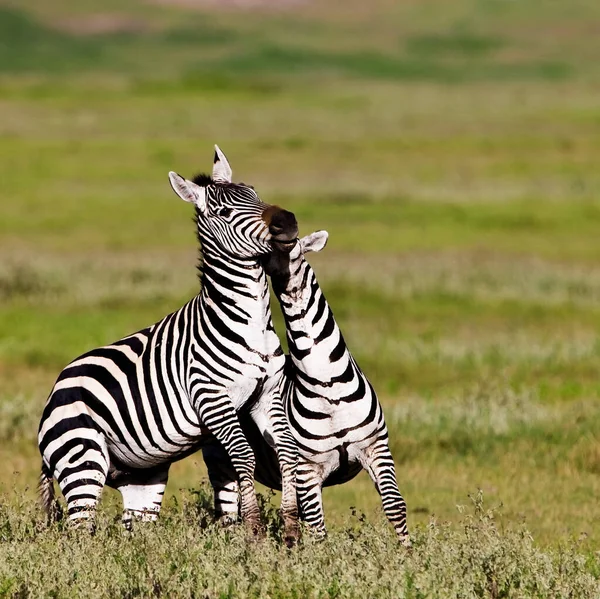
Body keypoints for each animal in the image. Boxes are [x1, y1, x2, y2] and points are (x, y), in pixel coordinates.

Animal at [37, 146, 300, 544]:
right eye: (224, 213)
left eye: (254, 191)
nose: (287, 221)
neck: (250, 322)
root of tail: (56, 389)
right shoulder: (213, 399)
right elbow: (244, 456)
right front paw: (254, 530)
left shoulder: (266, 394)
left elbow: (286, 451)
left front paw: (292, 530)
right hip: (82, 459)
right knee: (79, 534)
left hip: (142, 477)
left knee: (135, 535)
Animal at [204, 232, 410, 548]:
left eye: (293, 248)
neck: (329, 388)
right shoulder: (307, 468)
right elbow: (317, 528)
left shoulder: (376, 448)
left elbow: (395, 506)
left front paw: (409, 555)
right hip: (219, 458)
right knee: (228, 512)